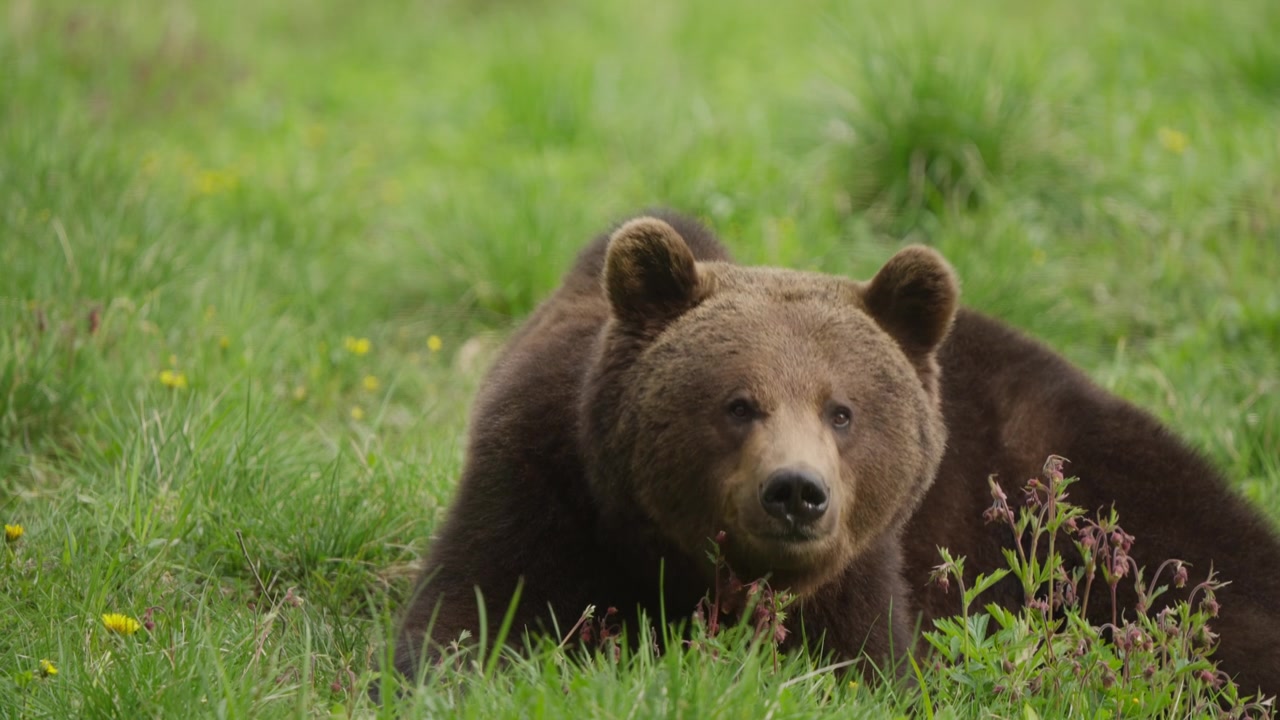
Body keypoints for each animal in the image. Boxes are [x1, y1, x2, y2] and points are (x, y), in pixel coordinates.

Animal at [390, 212, 1280, 698]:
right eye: (738, 403)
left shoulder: (864, 566)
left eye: (842, 410)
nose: (796, 492)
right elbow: (468, 620)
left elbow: (864, 669)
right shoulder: (538, 483)